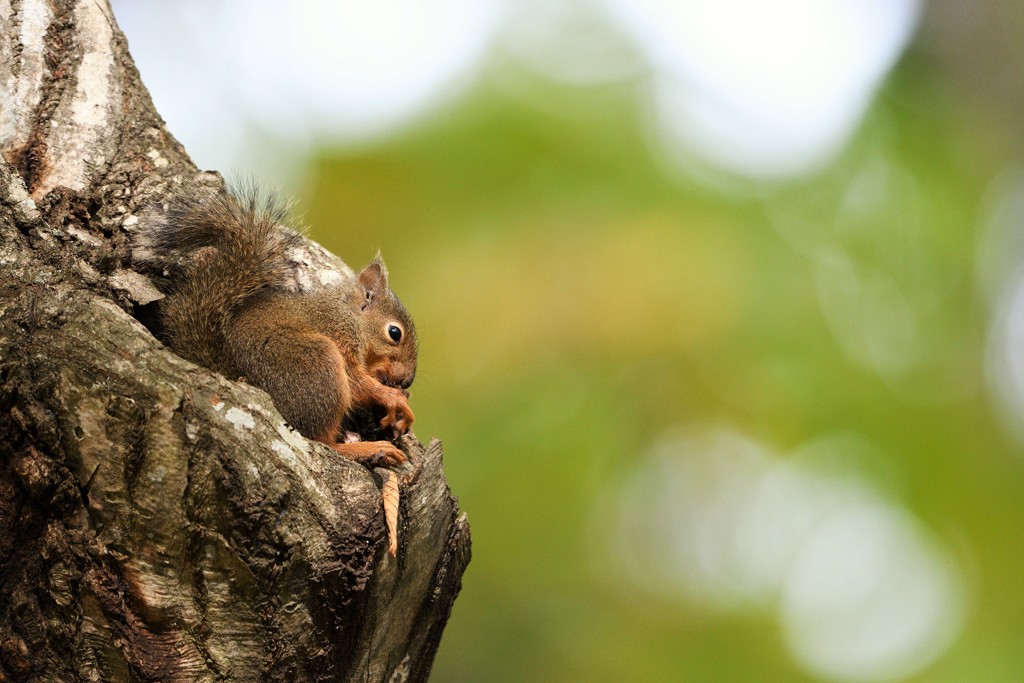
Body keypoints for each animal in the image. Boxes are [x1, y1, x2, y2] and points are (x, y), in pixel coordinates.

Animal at [135, 188, 415, 464]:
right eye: (394, 333)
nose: (407, 380)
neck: (350, 315)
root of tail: (231, 371)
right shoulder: (339, 333)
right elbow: (356, 383)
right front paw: (393, 398)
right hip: (314, 362)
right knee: (322, 440)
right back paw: (367, 448)